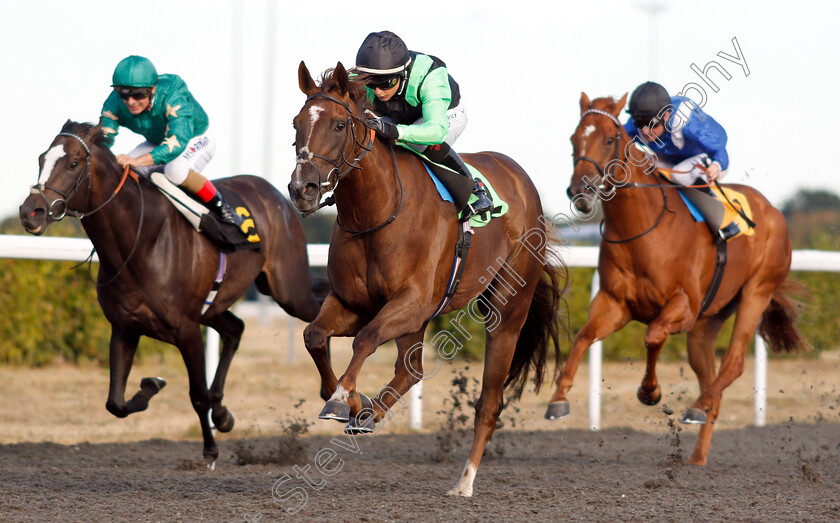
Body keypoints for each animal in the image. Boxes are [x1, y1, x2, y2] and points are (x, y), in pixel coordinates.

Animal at [18, 121, 328, 464]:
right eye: (41, 159)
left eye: (73, 163)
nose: (31, 211)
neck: (139, 240)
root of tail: (274, 194)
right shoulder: (125, 327)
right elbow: (116, 402)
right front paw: (153, 384)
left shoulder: (187, 330)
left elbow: (197, 396)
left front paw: (210, 449)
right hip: (215, 305)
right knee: (235, 328)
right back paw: (223, 413)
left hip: (288, 289)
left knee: (318, 308)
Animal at [286, 63, 568, 498]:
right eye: (297, 123)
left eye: (338, 125)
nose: (302, 189)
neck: (375, 213)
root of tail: (523, 183)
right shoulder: (353, 303)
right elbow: (314, 336)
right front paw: (351, 402)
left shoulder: (413, 302)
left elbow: (366, 338)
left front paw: (342, 398)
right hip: (419, 321)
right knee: (411, 369)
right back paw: (369, 413)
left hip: (506, 310)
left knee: (489, 401)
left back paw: (464, 482)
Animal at [544, 94, 808, 466]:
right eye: (573, 139)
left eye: (609, 139)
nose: (581, 190)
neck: (642, 229)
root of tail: (773, 211)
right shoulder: (614, 303)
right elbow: (583, 337)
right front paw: (558, 399)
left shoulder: (683, 306)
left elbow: (653, 335)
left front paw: (650, 391)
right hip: (707, 323)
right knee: (712, 380)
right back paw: (697, 455)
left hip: (757, 293)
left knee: (733, 364)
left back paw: (696, 407)